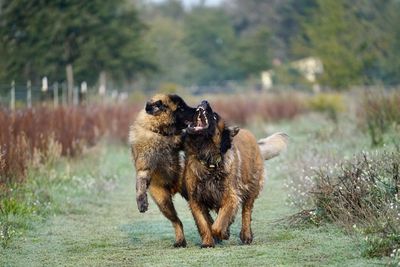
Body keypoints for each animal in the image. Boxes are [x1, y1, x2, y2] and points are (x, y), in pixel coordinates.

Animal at [130, 93, 195, 248]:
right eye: (180, 108)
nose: (197, 109)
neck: (160, 133)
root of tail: (173, 188)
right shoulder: (144, 168)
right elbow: (140, 184)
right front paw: (141, 202)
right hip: (164, 203)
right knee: (177, 222)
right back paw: (180, 241)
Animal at [181, 101, 288, 249]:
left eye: (215, 116)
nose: (204, 102)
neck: (208, 160)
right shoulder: (195, 199)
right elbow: (203, 223)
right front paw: (207, 242)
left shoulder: (231, 196)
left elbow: (218, 224)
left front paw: (223, 233)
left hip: (251, 188)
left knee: (246, 212)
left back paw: (246, 235)